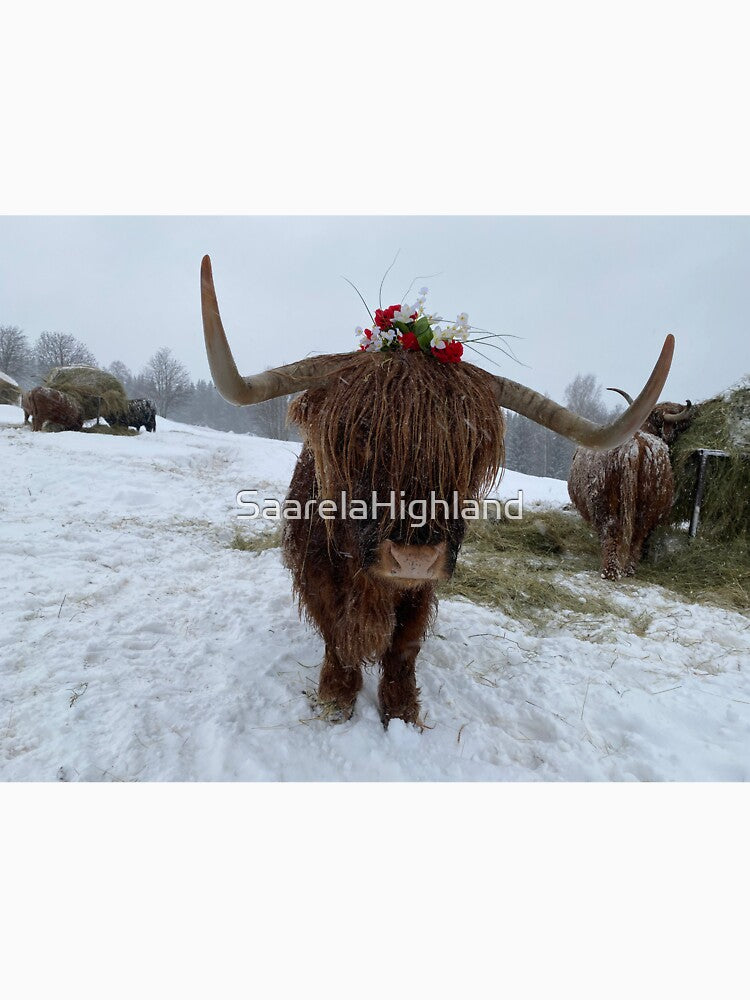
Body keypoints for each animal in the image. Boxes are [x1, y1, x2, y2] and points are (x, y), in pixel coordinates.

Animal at [200, 256, 675, 726]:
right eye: (361, 432)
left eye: (471, 446)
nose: (415, 557)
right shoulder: (315, 570)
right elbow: (337, 634)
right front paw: (336, 697)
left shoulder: (422, 590)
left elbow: (403, 646)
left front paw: (401, 709)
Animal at [568, 389, 694, 580]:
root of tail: (631, 447)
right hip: (644, 506)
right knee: (634, 534)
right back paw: (624, 570)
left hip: (605, 504)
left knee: (613, 532)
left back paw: (612, 571)